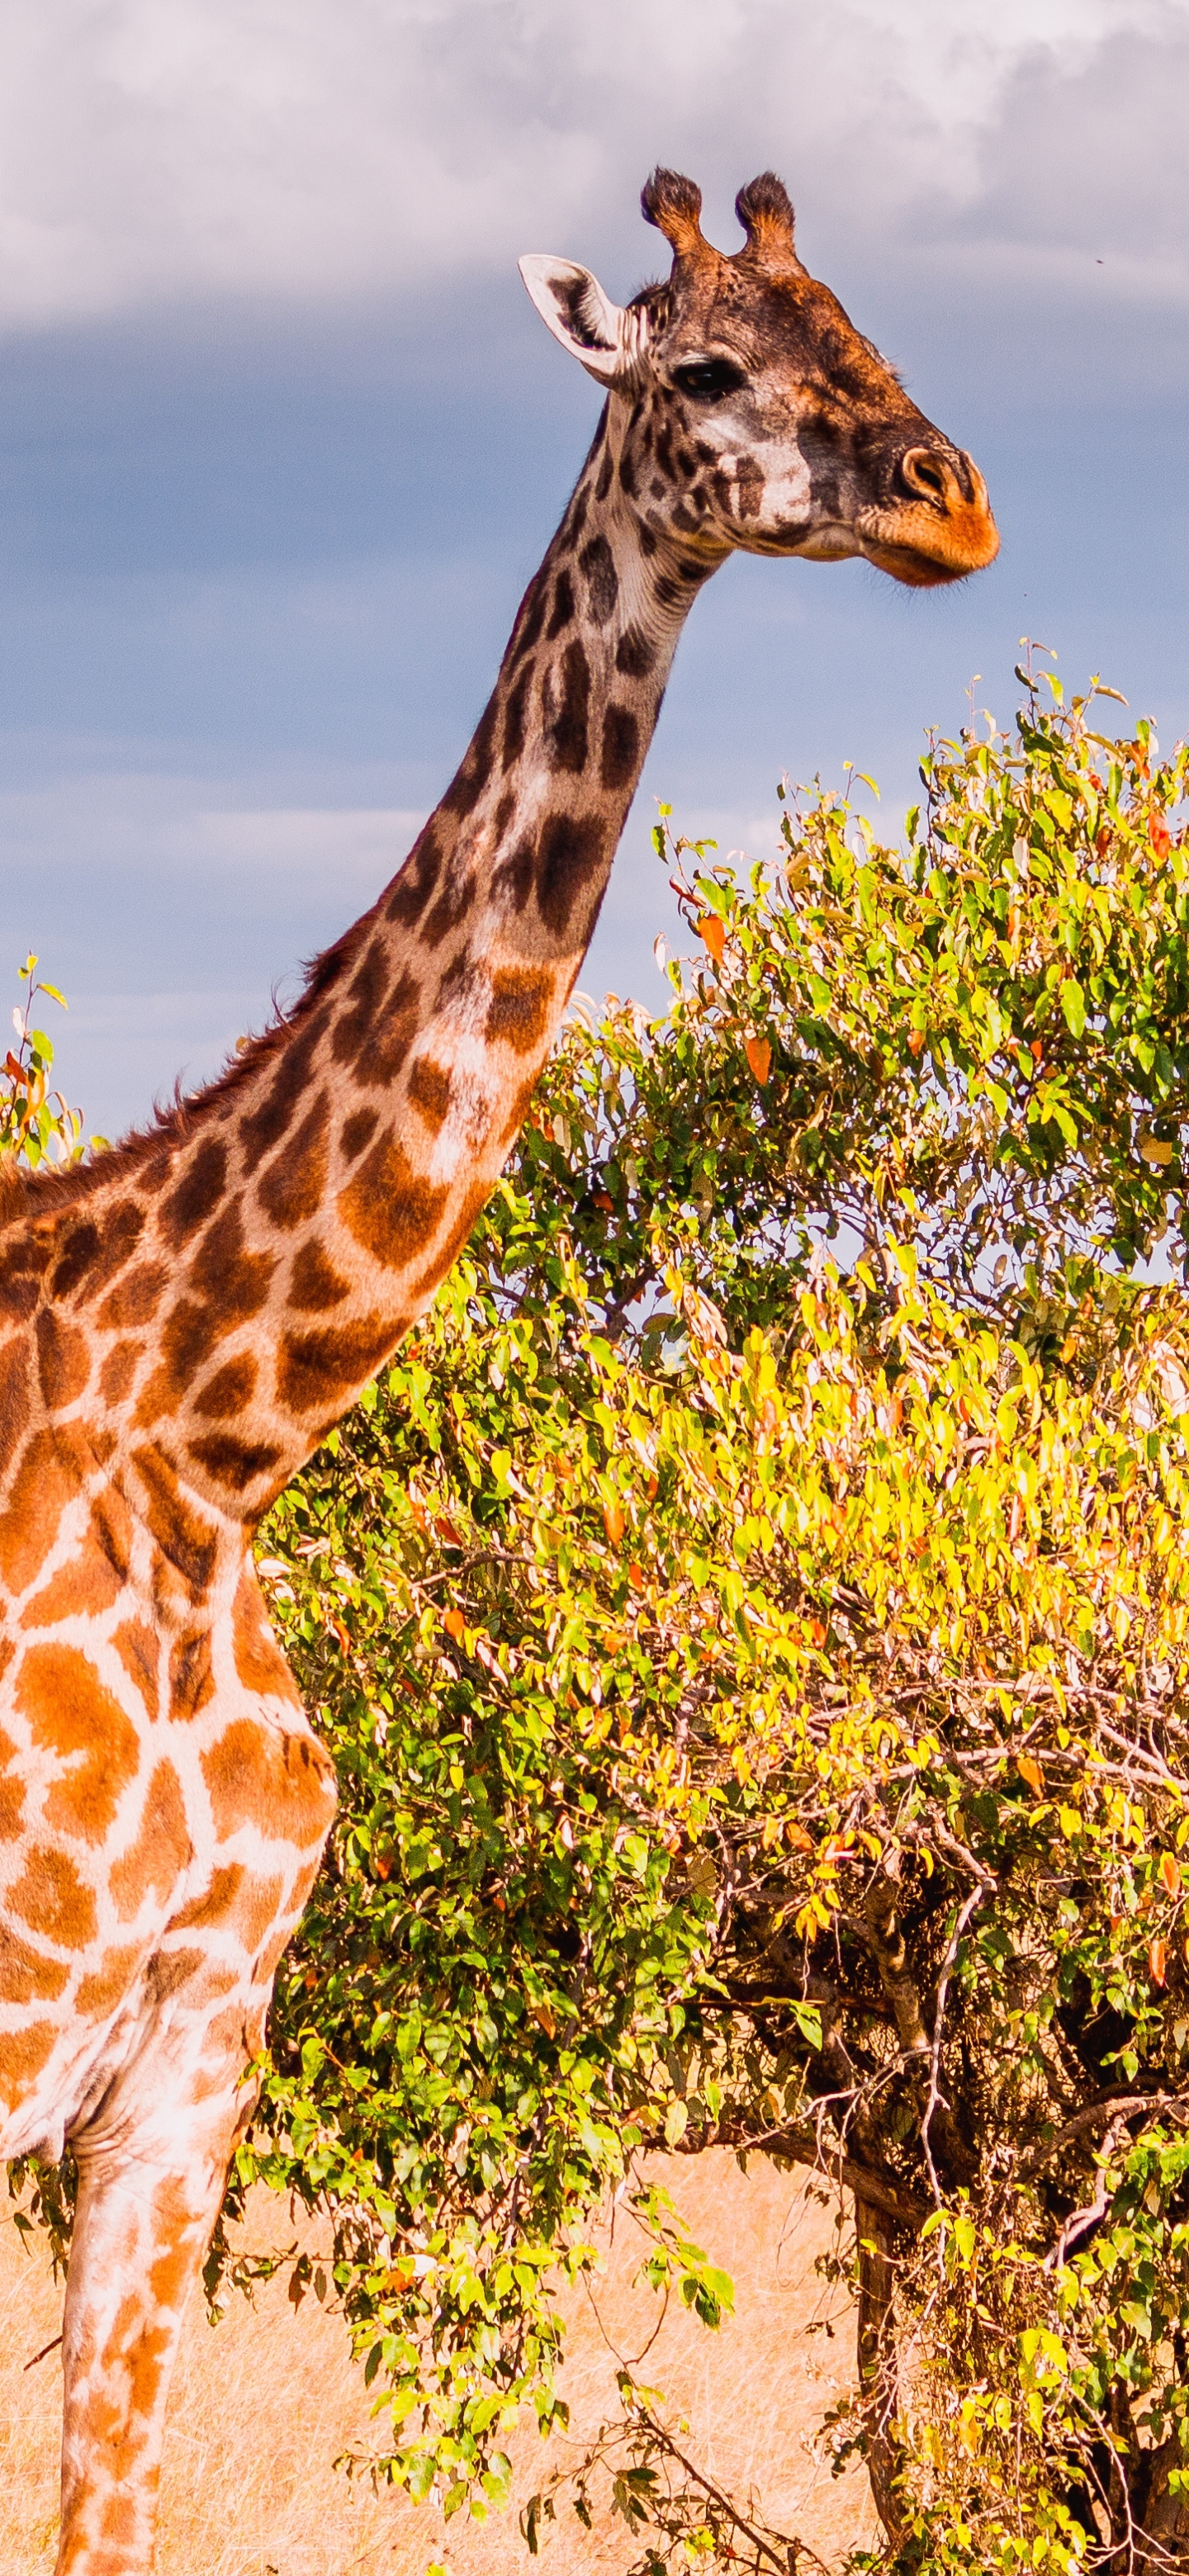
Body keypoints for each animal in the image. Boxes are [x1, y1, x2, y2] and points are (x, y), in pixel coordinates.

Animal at [0, 171, 998, 2565]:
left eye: (859, 316)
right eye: (705, 363)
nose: (951, 498)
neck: (214, 1431)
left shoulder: (189, 2050)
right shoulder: (13, 2013)